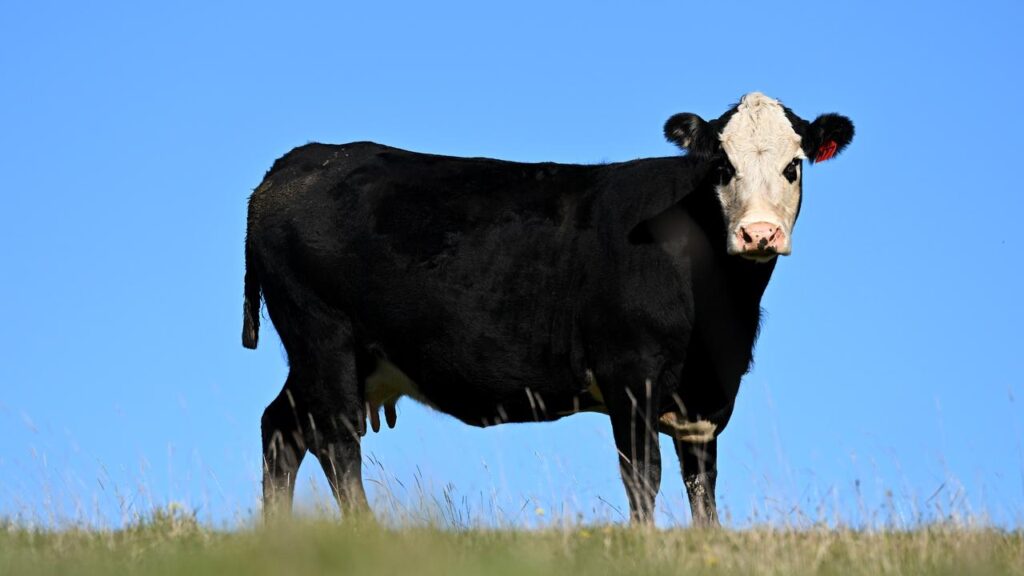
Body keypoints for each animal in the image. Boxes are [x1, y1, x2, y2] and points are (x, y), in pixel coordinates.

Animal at [242, 92, 854, 526]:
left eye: (794, 166)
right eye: (723, 167)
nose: (759, 233)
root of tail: (299, 162)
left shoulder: (706, 397)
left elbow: (702, 487)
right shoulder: (629, 372)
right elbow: (644, 476)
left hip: (332, 357)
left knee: (281, 428)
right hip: (324, 338)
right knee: (337, 442)